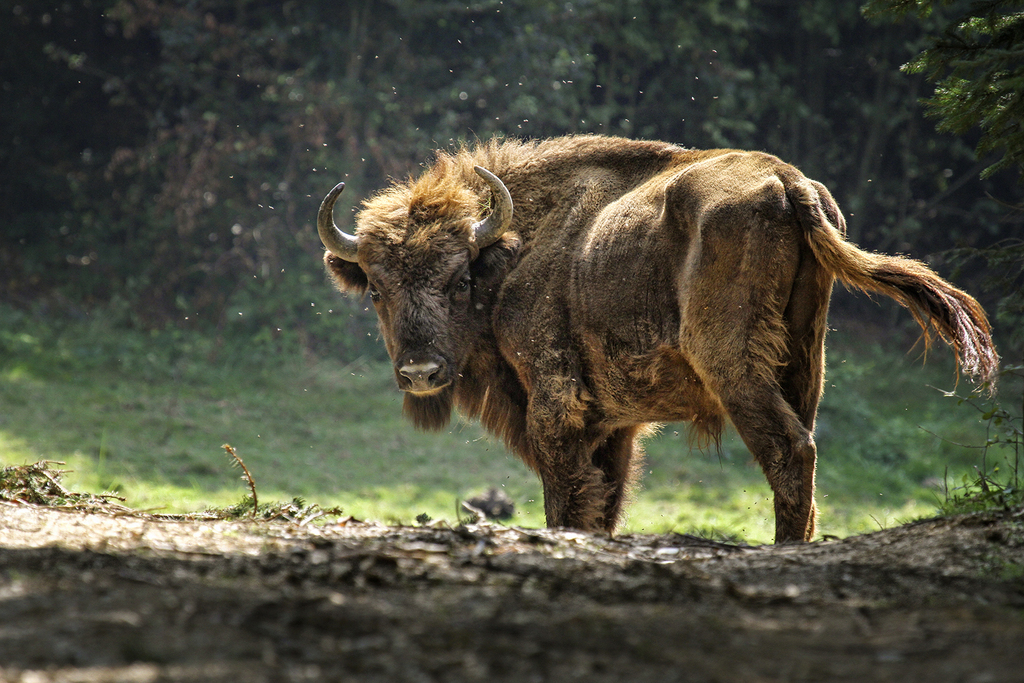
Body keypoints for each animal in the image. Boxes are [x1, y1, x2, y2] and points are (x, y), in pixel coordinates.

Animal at [318, 135, 997, 543]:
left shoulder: (555, 407)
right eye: (376, 290)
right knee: (804, 442)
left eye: (459, 280)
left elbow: (567, 497)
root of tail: (789, 185)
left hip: (733, 365)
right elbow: (607, 499)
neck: (513, 249)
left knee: (788, 448)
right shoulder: (612, 428)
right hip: (807, 360)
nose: (421, 373)